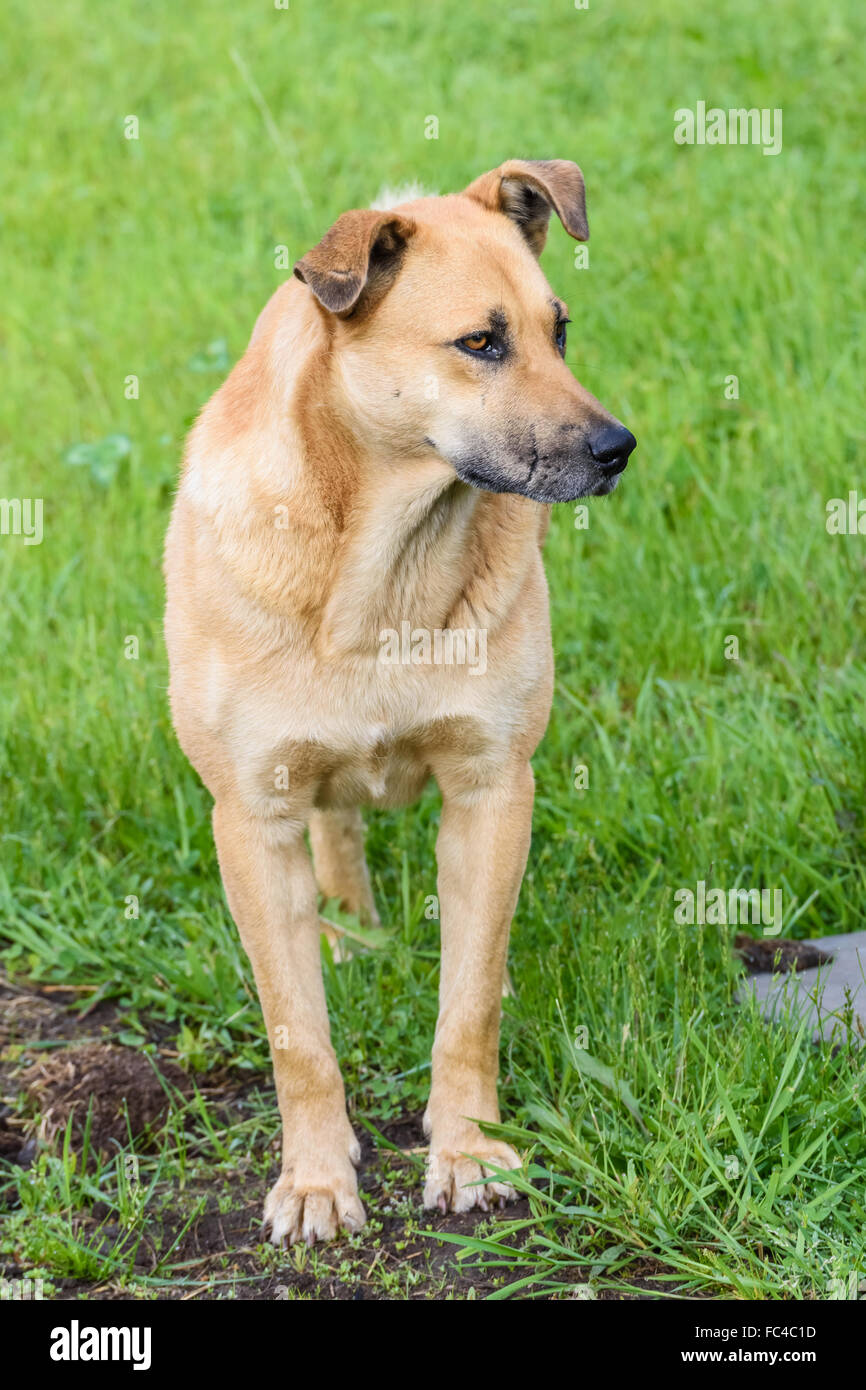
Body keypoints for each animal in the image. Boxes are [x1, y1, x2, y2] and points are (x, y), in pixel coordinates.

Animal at [164, 157, 636, 1245]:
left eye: (559, 330)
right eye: (480, 343)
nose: (617, 447)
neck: (386, 565)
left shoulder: (492, 785)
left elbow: (468, 1005)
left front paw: (469, 1150)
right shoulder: (251, 812)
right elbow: (295, 1032)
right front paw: (314, 1176)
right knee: (333, 841)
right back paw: (345, 929)